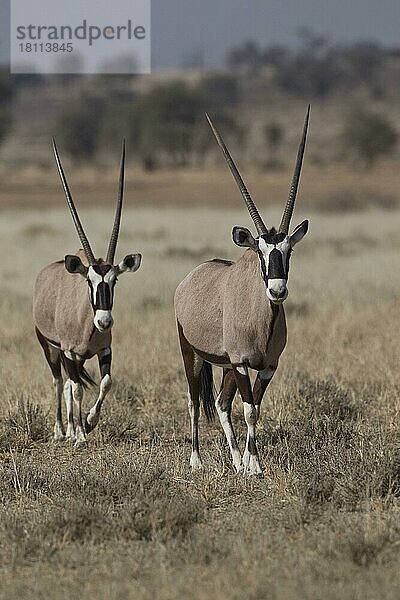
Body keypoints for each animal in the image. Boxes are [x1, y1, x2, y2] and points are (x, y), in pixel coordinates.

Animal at [33, 141, 141, 448]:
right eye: (89, 282)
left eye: (114, 281)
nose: (104, 322)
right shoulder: (68, 350)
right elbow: (78, 389)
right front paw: (81, 436)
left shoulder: (105, 350)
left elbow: (105, 383)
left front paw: (89, 423)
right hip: (51, 348)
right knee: (61, 382)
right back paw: (62, 431)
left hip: (75, 356)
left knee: (71, 384)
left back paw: (72, 427)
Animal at [174, 106, 310, 474]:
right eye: (260, 252)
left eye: (288, 251)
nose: (277, 291)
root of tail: (191, 277)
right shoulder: (241, 363)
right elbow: (248, 409)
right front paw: (255, 466)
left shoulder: (266, 365)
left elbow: (255, 410)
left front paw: (250, 463)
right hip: (193, 354)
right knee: (194, 402)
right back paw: (196, 460)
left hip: (224, 365)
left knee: (221, 403)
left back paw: (234, 461)